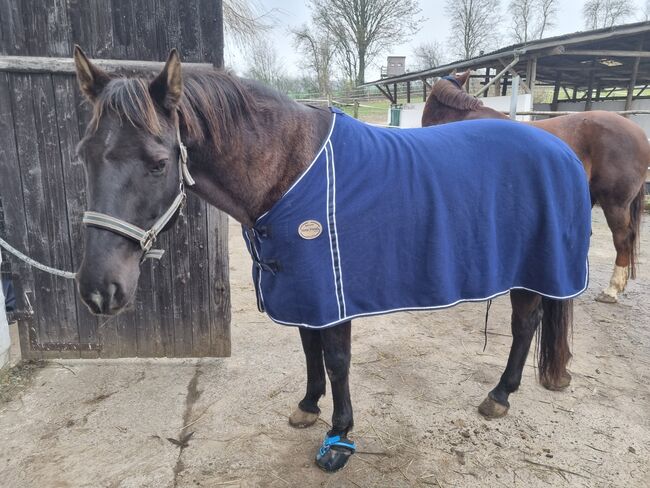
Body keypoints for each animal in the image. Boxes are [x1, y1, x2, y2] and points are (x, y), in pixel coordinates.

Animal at [74, 48, 588, 472]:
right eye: (84, 156)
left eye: (159, 162)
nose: (99, 289)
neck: (289, 169)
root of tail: (562, 149)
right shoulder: (303, 290)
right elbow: (310, 349)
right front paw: (308, 406)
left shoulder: (331, 294)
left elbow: (337, 359)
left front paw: (339, 438)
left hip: (535, 270)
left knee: (524, 324)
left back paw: (500, 394)